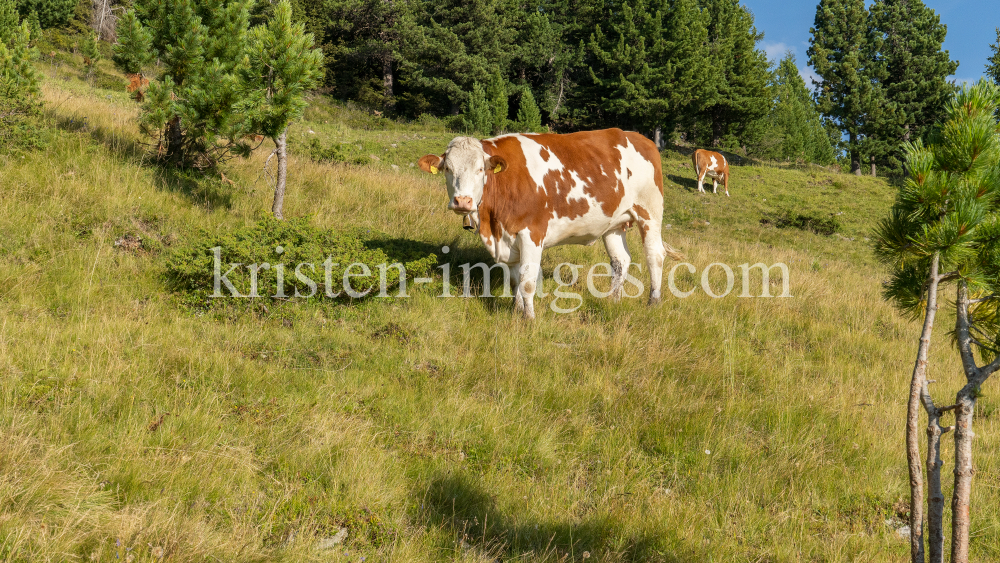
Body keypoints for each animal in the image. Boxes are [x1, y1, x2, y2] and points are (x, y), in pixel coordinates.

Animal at [418, 129, 684, 320]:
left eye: (480, 169)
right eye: (447, 169)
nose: (462, 201)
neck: (492, 225)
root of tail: (640, 138)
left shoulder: (532, 233)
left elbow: (527, 281)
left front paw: (529, 320)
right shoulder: (507, 237)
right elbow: (514, 280)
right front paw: (515, 312)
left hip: (649, 211)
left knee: (654, 255)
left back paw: (653, 302)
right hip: (614, 223)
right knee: (621, 260)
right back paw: (613, 300)